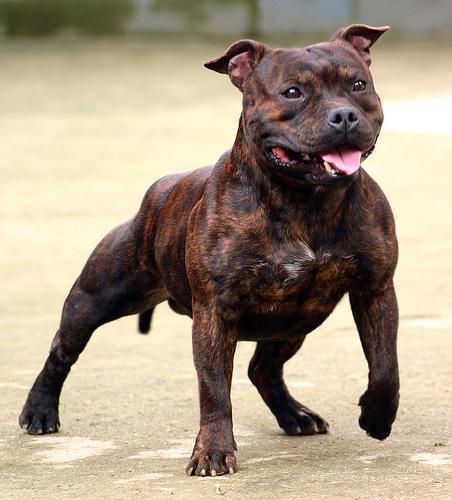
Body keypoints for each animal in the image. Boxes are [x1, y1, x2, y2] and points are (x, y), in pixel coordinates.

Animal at [19, 24, 400, 476]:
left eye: (358, 85)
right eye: (292, 92)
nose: (343, 116)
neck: (306, 201)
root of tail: (159, 190)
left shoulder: (375, 290)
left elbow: (385, 366)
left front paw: (377, 415)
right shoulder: (215, 312)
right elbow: (214, 389)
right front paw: (213, 451)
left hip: (296, 322)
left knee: (262, 369)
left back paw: (295, 415)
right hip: (97, 297)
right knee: (61, 350)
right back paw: (39, 410)